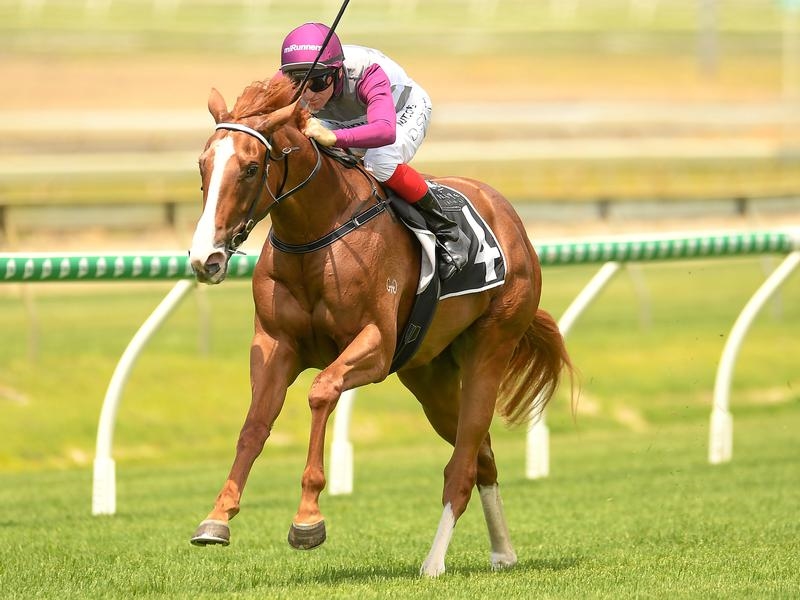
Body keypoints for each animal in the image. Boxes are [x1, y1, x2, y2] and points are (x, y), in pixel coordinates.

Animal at [187, 75, 574, 577]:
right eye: (203, 165)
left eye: (251, 168)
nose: (206, 258)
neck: (318, 235)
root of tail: (508, 214)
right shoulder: (275, 345)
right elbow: (255, 422)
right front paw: (217, 516)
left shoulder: (375, 344)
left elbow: (321, 391)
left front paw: (308, 518)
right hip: (427, 375)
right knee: (483, 456)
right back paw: (502, 553)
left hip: (491, 346)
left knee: (463, 464)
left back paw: (434, 562)